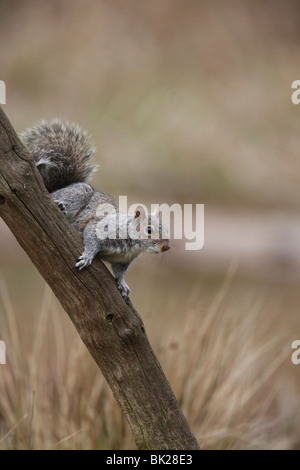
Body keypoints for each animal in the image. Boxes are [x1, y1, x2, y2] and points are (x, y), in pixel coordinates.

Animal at [20, 118, 170, 298]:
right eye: (148, 229)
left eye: (167, 229)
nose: (166, 247)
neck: (133, 245)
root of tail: (56, 188)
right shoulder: (101, 228)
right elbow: (92, 237)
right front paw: (87, 257)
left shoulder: (123, 261)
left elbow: (119, 272)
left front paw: (122, 284)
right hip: (79, 193)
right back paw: (60, 206)